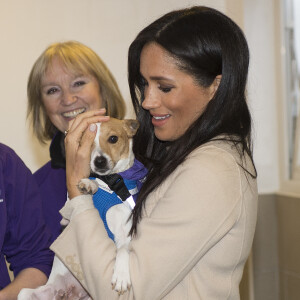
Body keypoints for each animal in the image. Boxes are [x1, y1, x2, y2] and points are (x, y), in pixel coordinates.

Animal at [18, 118, 141, 298]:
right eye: (86, 142)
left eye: (113, 139)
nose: (99, 161)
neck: (109, 185)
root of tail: (70, 292)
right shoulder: (66, 215)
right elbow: (87, 184)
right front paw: (89, 184)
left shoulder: (125, 234)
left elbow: (123, 250)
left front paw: (121, 276)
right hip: (25, 293)